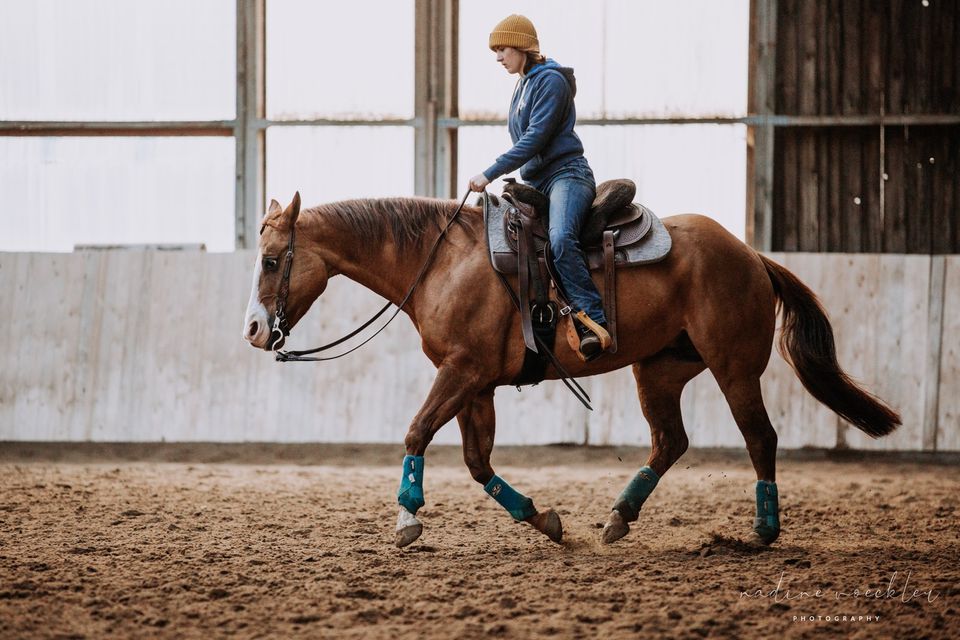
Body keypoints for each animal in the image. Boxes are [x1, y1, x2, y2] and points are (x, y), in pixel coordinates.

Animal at [242, 192, 900, 548]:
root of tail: (750, 254)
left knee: (759, 437)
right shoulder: (477, 385)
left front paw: (406, 517)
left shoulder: (460, 372)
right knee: (670, 441)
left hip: (735, 366)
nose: (252, 329)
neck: (442, 262)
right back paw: (618, 518)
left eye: (272, 260)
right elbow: (478, 462)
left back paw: (763, 530)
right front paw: (544, 520)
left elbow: (416, 431)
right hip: (659, 370)